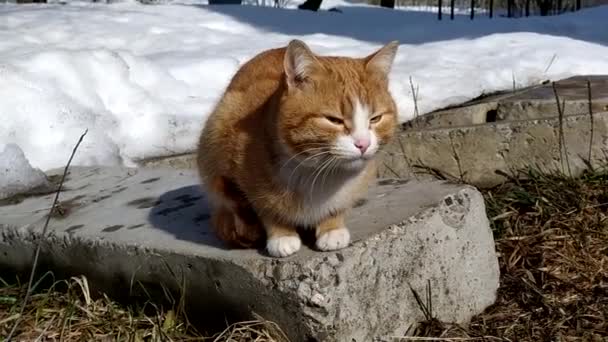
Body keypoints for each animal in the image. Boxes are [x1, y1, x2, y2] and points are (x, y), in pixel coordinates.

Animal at [197, 39, 402, 256]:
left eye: (375, 118)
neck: (316, 172)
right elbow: (264, 206)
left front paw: (332, 228)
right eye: (334, 120)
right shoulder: (244, 179)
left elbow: (339, 206)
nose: (363, 144)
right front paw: (281, 234)